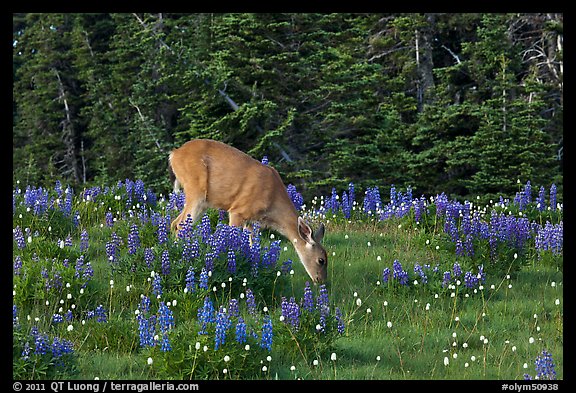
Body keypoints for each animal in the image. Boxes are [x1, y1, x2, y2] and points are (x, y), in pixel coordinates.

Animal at [168, 138, 328, 282]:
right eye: (321, 260)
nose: (321, 281)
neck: (272, 203)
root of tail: (174, 154)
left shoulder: (252, 222)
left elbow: (252, 247)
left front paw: (253, 268)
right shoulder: (238, 210)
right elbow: (231, 240)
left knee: (175, 223)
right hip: (196, 189)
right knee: (179, 225)